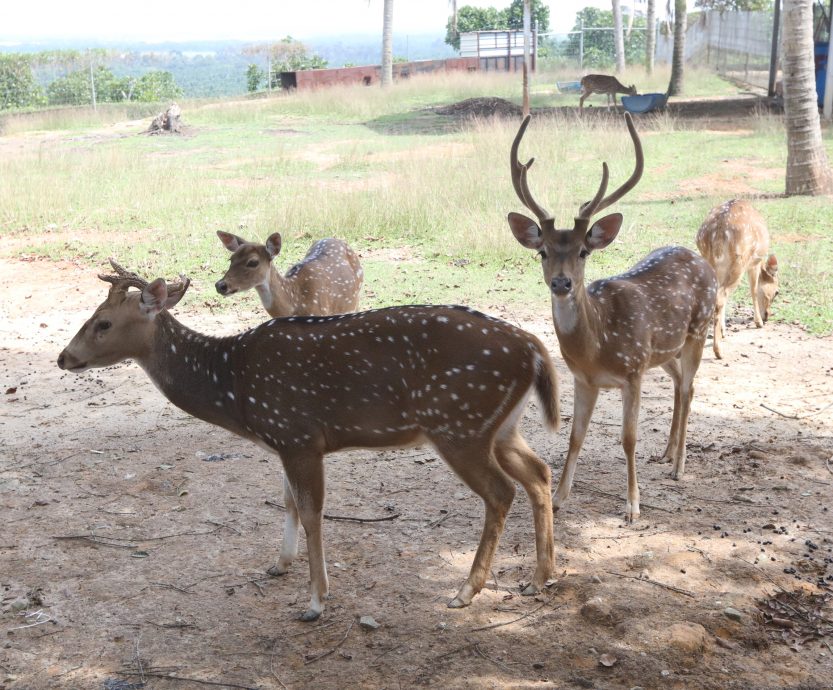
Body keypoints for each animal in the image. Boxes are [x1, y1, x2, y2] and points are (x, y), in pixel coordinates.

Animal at [58, 258, 560, 620]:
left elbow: (312, 509)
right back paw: (540, 578)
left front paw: (316, 601)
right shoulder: (283, 441)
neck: (233, 387)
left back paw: (465, 591)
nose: (64, 357)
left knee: (501, 492)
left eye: (102, 322)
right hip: (499, 426)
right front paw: (279, 563)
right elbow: (288, 502)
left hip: (459, 424)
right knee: (539, 473)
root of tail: (534, 348)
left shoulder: (298, 434)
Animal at [504, 114, 720, 520]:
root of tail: (700, 258)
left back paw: (679, 466)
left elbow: (628, 438)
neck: (597, 344)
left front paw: (633, 506)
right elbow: (575, 436)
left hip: (698, 330)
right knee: (679, 383)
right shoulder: (583, 379)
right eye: (542, 251)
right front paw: (559, 497)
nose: (561, 282)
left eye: (584, 251)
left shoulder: (632, 371)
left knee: (690, 387)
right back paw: (666, 453)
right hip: (663, 352)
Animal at [692, 198, 776, 358]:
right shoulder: (754, 263)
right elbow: (754, 290)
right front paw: (758, 322)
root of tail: (718, 231)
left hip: (708, 256)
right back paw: (718, 351)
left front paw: (723, 330)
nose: (767, 315)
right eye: (776, 292)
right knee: (721, 296)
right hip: (740, 260)